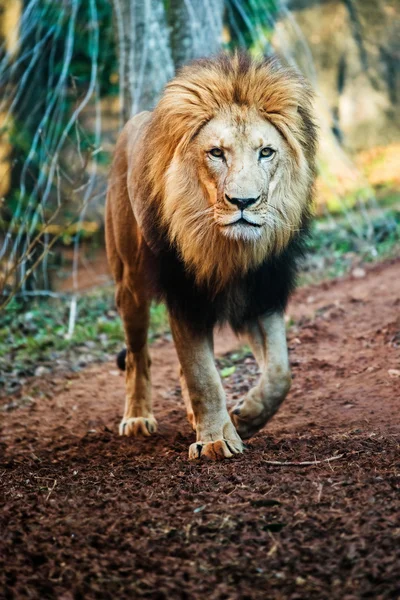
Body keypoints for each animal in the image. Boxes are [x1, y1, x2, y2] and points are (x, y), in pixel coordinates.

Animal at [104, 54, 318, 462]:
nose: (243, 202)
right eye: (216, 153)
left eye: (266, 152)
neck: (228, 249)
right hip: (130, 283)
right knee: (138, 355)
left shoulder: (261, 292)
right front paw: (216, 440)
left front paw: (247, 417)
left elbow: (280, 372)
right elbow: (202, 374)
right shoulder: (185, 296)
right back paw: (137, 418)